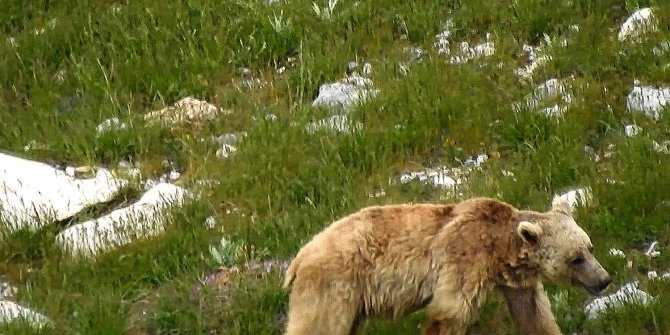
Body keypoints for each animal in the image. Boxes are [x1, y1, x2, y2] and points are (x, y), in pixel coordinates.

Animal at [284, 197, 616, 335]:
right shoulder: (464, 259)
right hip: (335, 286)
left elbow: (534, 315)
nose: (604, 279)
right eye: (575, 258)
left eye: (589, 248)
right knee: (317, 326)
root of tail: (298, 258)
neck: (500, 250)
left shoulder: (516, 281)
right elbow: (449, 313)